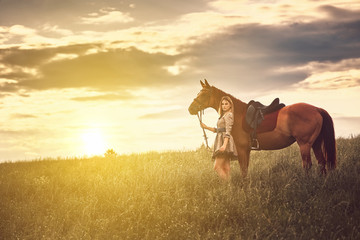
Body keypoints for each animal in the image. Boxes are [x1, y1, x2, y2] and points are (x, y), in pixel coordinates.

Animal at [187, 79, 336, 177]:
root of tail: (316, 109)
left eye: (203, 94)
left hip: (304, 144)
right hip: (315, 143)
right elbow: (245, 169)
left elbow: (243, 170)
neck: (237, 113)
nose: (190, 109)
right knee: (321, 163)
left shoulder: (242, 149)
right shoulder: (246, 150)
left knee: (307, 165)